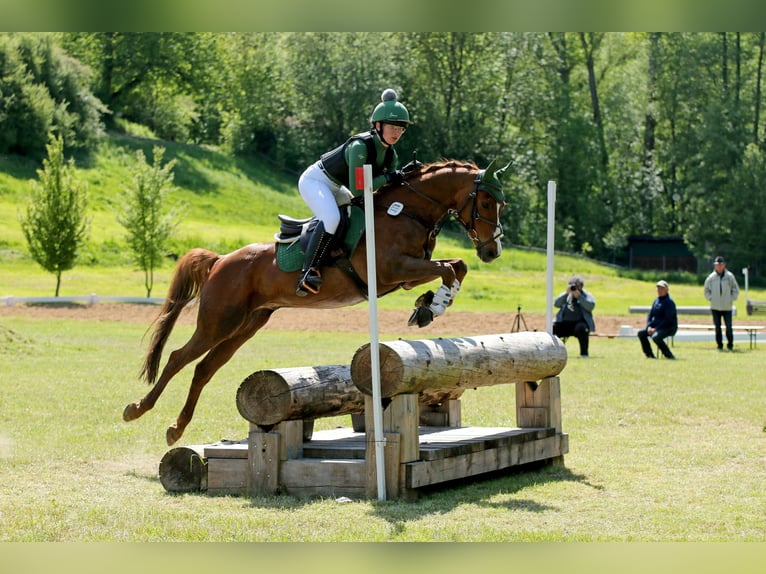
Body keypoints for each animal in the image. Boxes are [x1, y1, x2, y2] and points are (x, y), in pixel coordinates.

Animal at [123, 159, 510, 445]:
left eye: (501, 203)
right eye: (485, 202)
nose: (492, 251)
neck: (405, 211)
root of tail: (220, 261)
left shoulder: (403, 275)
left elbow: (455, 266)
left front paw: (428, 306)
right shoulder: (392, 270)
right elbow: (448, 268)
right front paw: (433, 306)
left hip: (246, 325)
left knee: (204, 368)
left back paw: (176, 429)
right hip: (218, 321)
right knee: (178, 358)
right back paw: (137, 409)